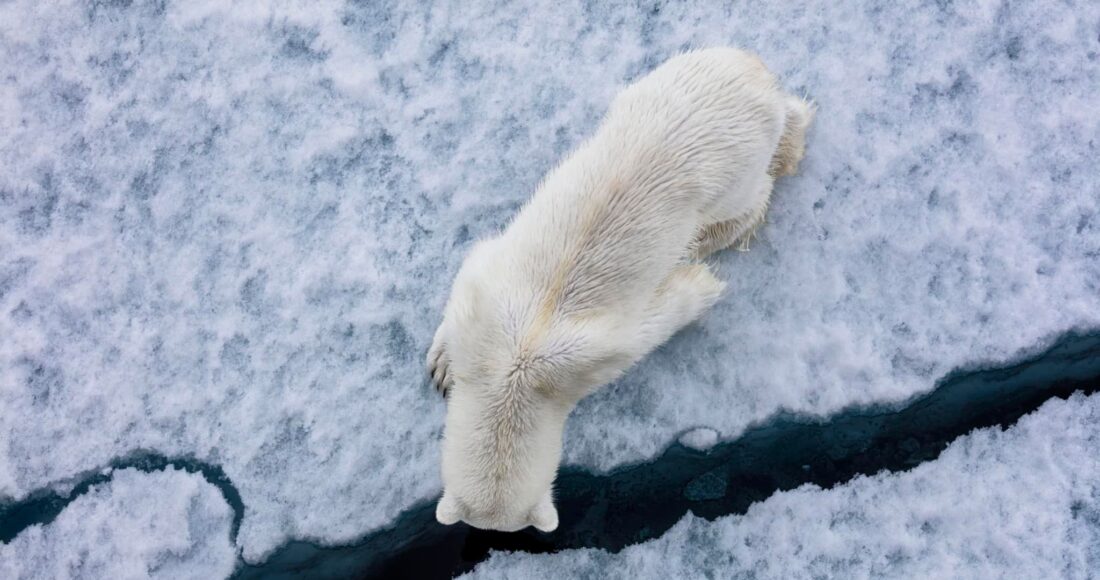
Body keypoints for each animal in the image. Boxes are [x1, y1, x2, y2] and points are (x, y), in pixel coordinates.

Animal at [428, 47, 814, 532]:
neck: (517, 368)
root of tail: (755, 72)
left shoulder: (596, 356)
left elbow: (664, 314)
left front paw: (698, 282)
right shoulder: (488, 302)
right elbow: (471, 270)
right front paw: (442, 364)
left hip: (734, 167)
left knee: (748, 196)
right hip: (659, 85)